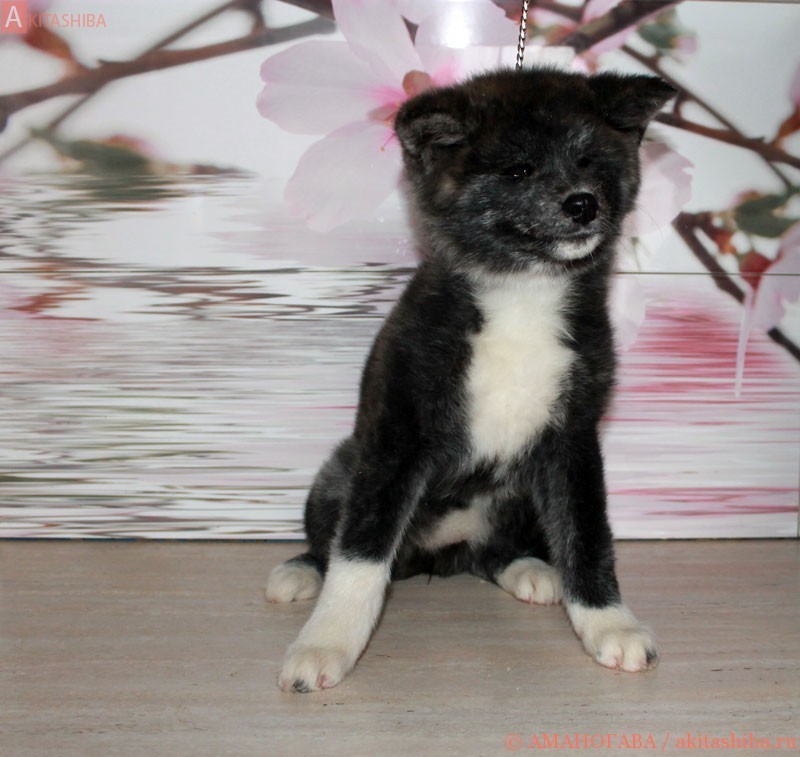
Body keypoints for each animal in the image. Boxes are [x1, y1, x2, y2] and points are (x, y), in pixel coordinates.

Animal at [267, 67, 676, 693]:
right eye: (519, 170)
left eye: (591, 160)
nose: (583, 203)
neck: (522, 293)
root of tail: (438, 553)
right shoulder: (396, 439)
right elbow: (361, 552)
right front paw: (328, 641)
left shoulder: (572, 443)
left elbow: (586, 536)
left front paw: (609, 622)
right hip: (339, 471)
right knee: (334, 542)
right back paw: (303, 571)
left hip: (522, 493)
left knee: (492, 553)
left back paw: (527, 568)